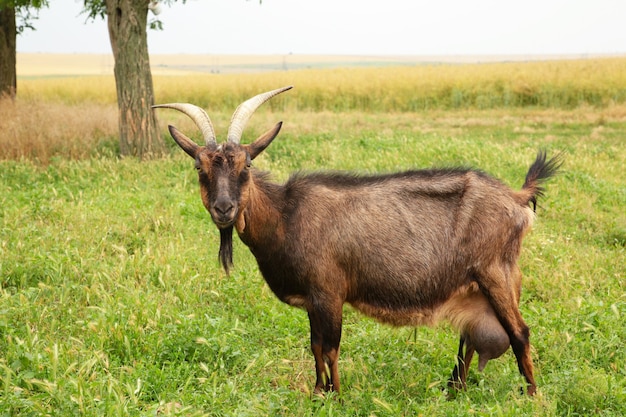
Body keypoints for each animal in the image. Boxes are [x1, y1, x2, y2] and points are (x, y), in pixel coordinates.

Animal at [152, 85, 560, 396]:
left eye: (246, 165)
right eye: (200, 167)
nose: (224, 208)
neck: (286, 216)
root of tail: (518, 198)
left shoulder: (329, 292)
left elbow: (330, 347)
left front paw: (337, 395)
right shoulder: (313, 301)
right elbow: (315, 346)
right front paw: (319, 392)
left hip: (496, 274)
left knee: (520, 333)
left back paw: (531, 396)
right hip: (481, 283)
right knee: (471, 338)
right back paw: (453, 390)